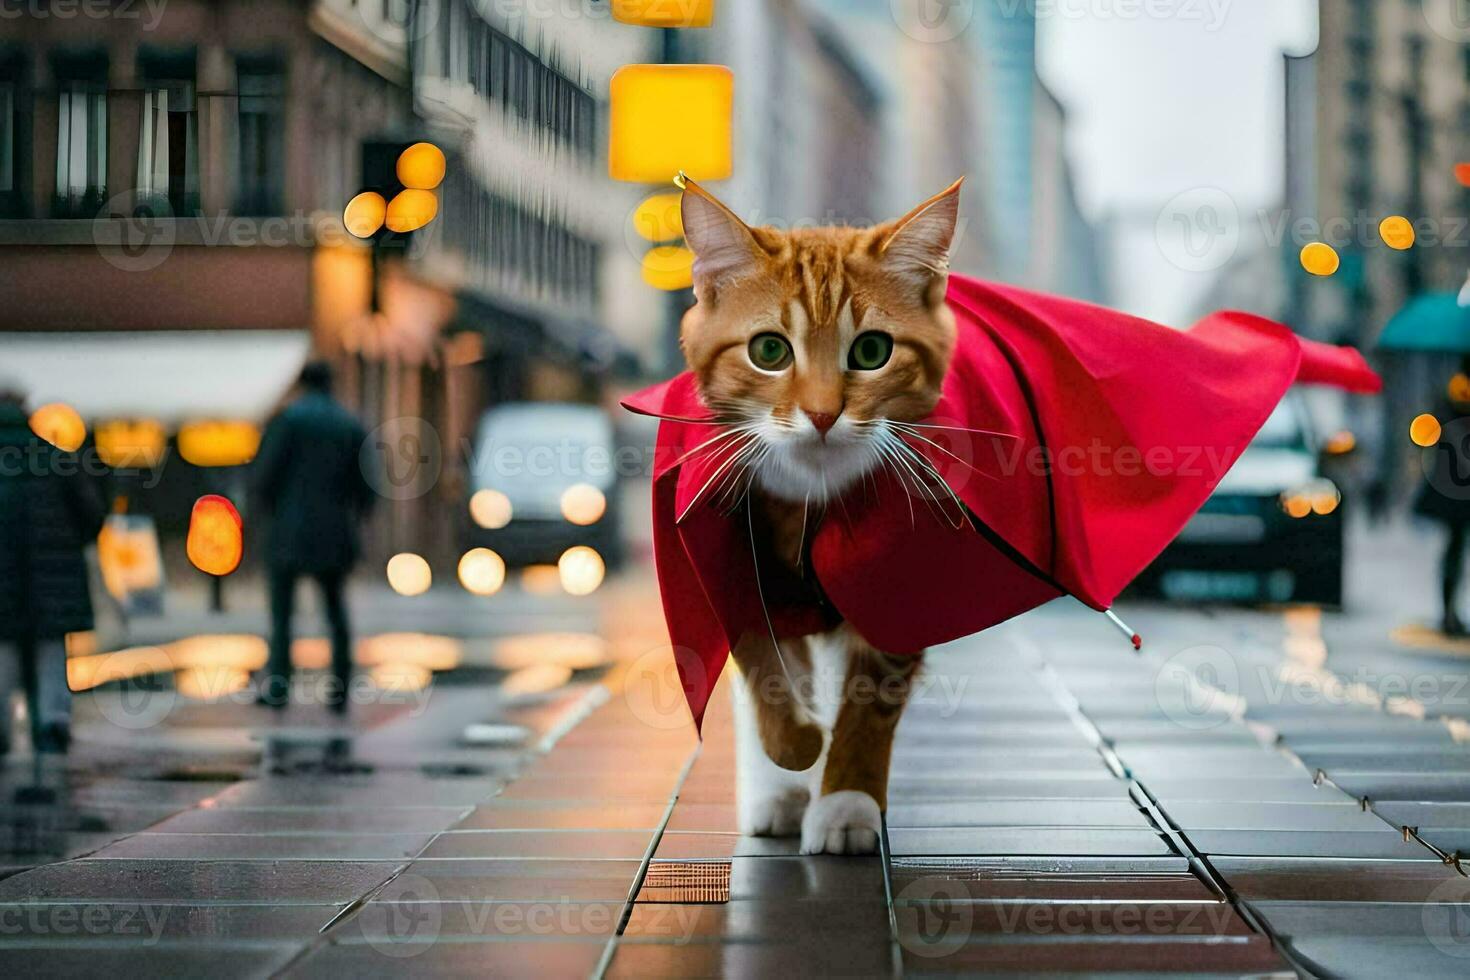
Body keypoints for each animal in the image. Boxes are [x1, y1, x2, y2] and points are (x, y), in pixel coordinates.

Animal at [679, 179, 964, 852]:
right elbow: (765, 677)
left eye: (872, 351)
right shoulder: (746, 568)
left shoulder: (896, 581)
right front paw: (794, 752)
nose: (823, 414)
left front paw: (845, 803)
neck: (813, 491)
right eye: (769, 351)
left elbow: (866, 703)